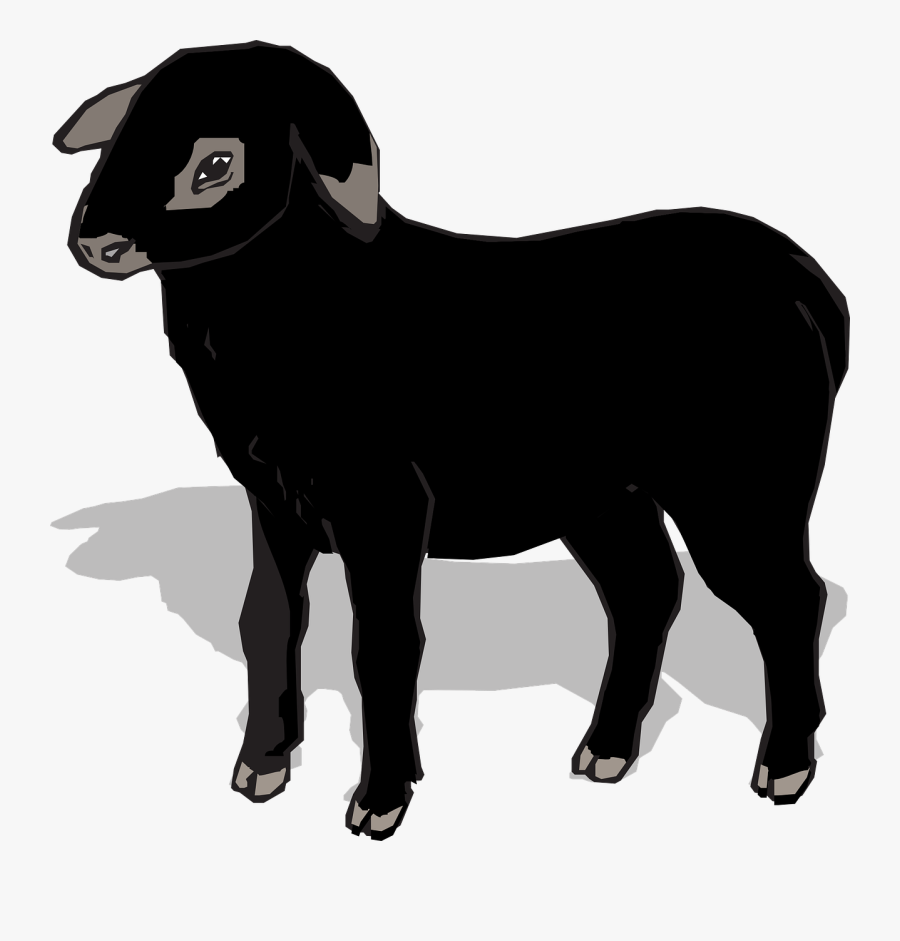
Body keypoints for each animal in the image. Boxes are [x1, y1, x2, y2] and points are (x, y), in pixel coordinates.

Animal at [54, 40, 849, 840]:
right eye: (119, 135)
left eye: (216, 163)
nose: (96, 242)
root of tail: (806, 278)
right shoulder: (275, 500)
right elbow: (268, 621)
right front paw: (263, 768)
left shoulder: (385, 502)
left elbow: (382, 646)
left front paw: (379, 800)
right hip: (604, 494)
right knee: (647, 590)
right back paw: (606, 751)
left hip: (744, 480)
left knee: (789, 598)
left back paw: (785, 766)